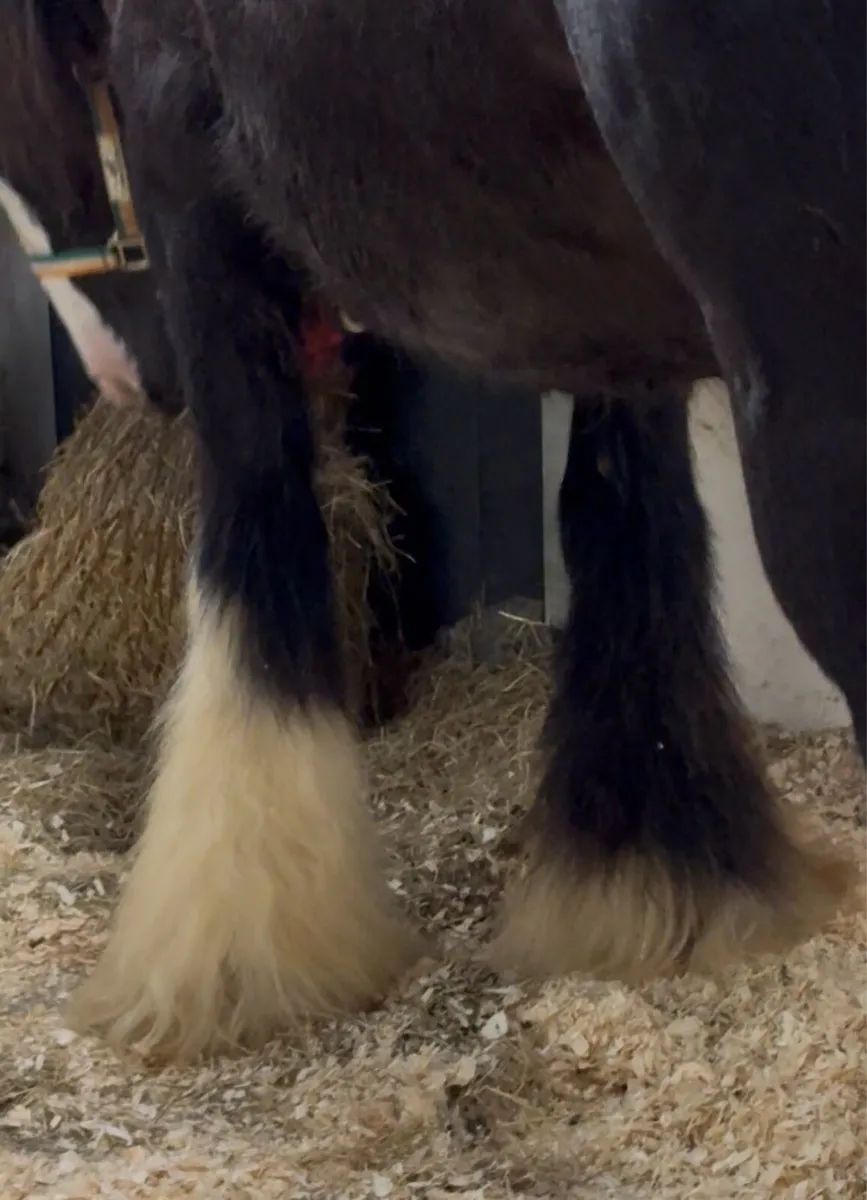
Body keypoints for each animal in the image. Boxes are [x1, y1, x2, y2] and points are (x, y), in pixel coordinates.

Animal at [0, 0, 861, 1063]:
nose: (124, 377)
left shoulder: (178, 159)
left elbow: (255, 537)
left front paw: (227, 951)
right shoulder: (597, 301)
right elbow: (618, 512)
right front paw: (646, 882)